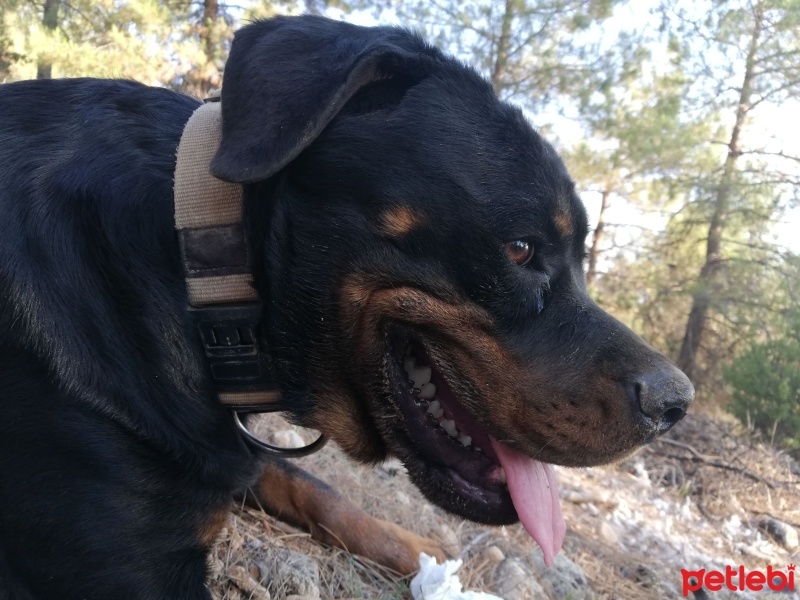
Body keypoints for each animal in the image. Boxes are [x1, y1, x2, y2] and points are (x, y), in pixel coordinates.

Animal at [0, 14, 692, 600]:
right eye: (521, 248)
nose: (676, 403)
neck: (196, 277)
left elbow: (316, 486)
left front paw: (425, 550)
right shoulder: (134, 571)